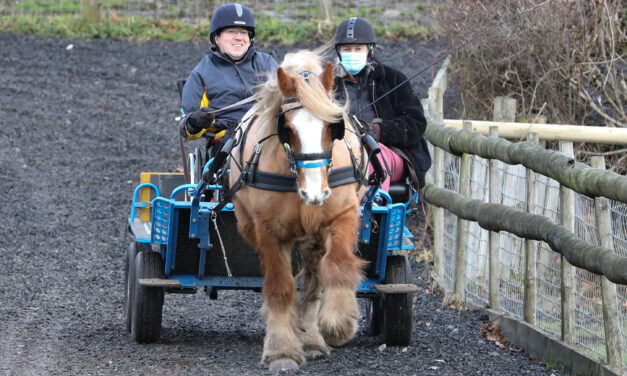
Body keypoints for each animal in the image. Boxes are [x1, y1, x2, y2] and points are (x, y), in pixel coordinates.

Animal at [229, 50, 368, 374]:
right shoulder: (269, 231)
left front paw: (339, 323)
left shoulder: (344, 215)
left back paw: (314, 338)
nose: (315, 193)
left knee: (316, 279)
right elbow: (280, 287)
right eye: (288, 130)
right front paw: (282, 350)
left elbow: (338, 265)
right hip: (250, 226)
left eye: (333, 126)